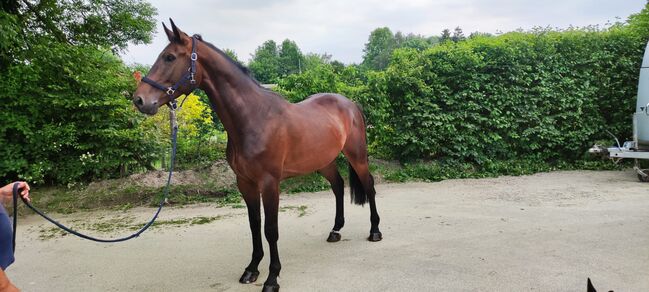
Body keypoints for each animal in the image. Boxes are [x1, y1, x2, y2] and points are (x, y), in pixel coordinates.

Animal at [134, 19, 382, 290]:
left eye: (169, 57)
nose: (139, 99)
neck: (254, 118)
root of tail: (350, 103)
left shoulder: (269, 183)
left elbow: (270, 229)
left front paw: (272, 278)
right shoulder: (245, 183)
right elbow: (254, 226)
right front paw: (252, 269)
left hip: (357, 156)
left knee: (369, 186)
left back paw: (375, 231)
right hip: (323, 161)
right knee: (338, 186)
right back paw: (336, 230)